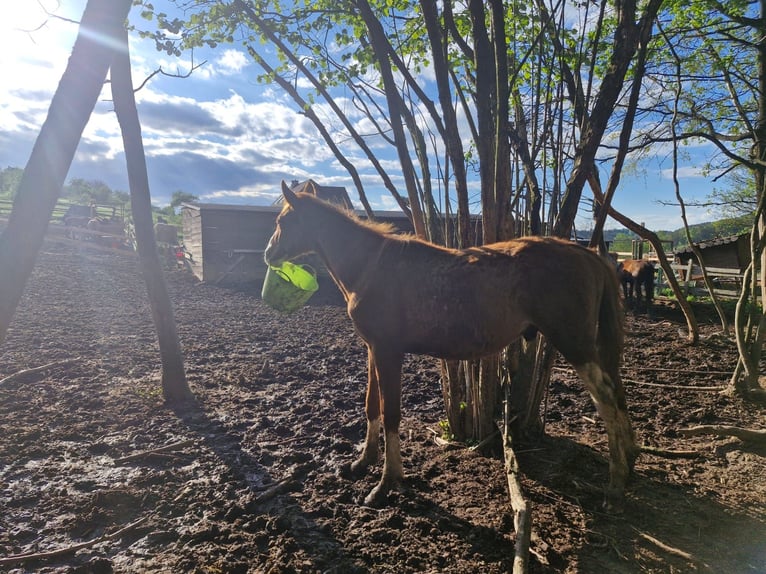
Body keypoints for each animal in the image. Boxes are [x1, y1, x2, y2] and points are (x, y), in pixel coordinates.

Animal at [265, 181, 638, 510]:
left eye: (283, 221)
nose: (269, 253)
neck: (372, 266)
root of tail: (586, 254)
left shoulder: (388, 352)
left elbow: (391, 414)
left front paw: (386, 483)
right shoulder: (373, 349)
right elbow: (372, 406)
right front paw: (362, 463)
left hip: (575, 345)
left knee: (607, 399)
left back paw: (616, 487)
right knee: (617, 393)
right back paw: (629, 465)